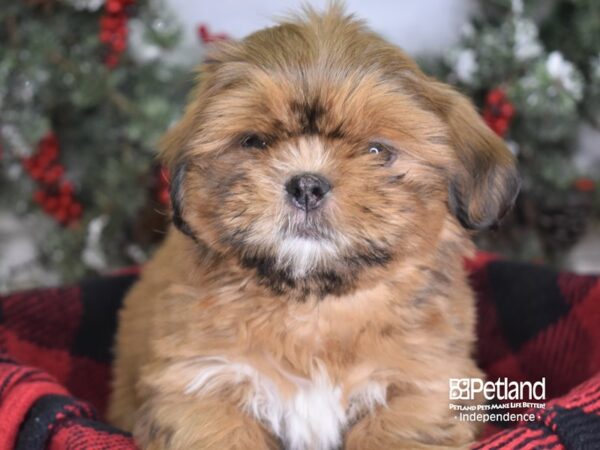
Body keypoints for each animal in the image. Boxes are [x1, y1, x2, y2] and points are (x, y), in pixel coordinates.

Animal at [109, 4, 520, 450]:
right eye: (254, 142)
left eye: (377, 151)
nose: (306, 185)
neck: (313, 309)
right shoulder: (198, 383)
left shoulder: (425, 387)